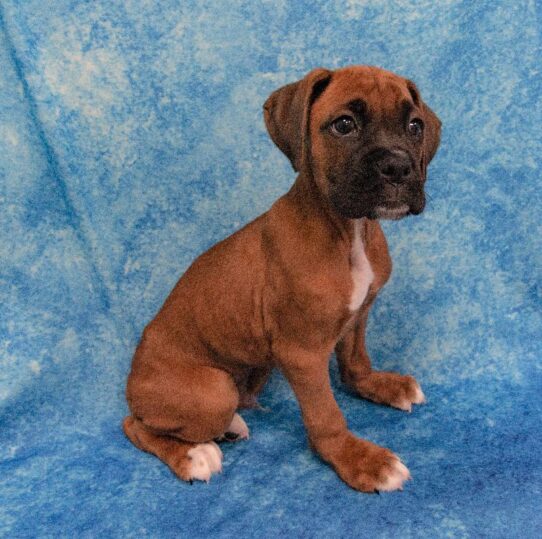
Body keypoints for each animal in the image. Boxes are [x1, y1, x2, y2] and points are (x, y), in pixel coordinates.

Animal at [124, 64, 442, 494]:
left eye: (414, 126)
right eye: (344, 124)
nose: (398, 166)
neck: (349, 230)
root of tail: (132, 381)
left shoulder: (358, 315)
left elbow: (355, 362)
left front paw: (379, 385)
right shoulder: (302, 353)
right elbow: (326, 415)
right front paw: (358, 459)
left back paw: (228, 428)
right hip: (212, 391)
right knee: (136, 426)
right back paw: (192, 455)